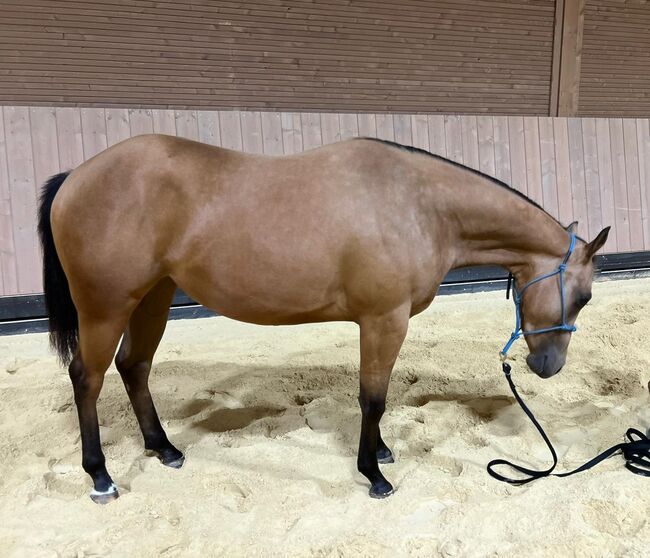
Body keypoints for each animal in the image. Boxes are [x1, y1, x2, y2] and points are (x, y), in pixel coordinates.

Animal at [36, 135, 608, 504]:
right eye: (583, 296)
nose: (549, 366)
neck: (421, 206)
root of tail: (75, 177)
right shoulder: (384, 320)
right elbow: (373, 397)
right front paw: (373, 474)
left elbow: (378, 396)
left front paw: (381, 452)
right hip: (107, 307)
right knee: (88, 378)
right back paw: (100, 477)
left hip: (152, 299)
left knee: (134, 368)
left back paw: (164, 449)